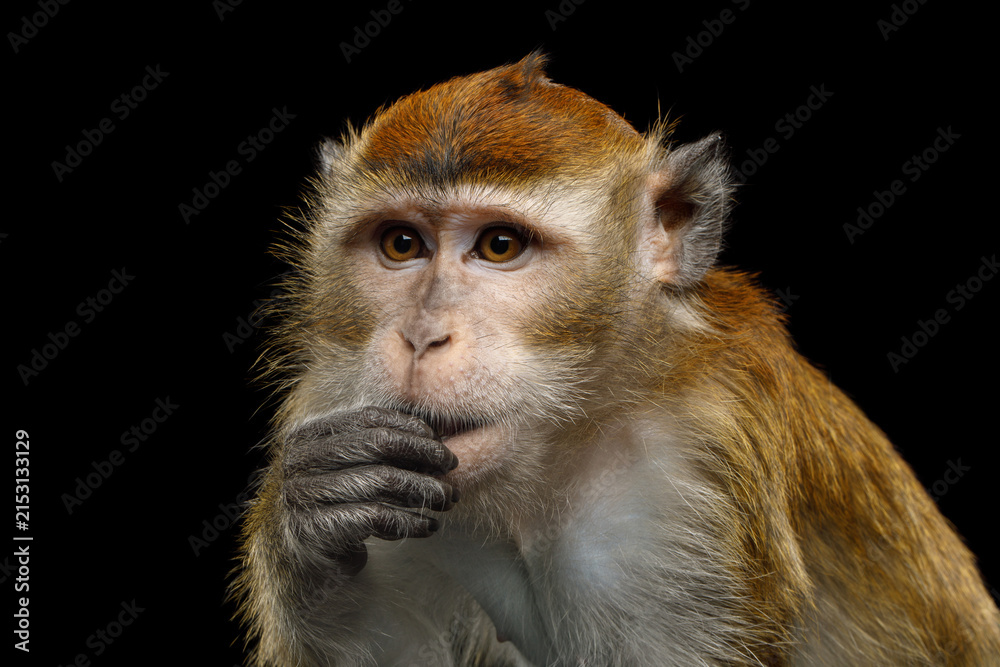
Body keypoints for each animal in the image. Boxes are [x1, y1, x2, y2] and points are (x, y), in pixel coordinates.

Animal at [232, 52, 1000, 666]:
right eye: (400, 244)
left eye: (500, 245)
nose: (422, 337)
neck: (565, 438)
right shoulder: (353, 420)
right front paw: (309, 530)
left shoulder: (681, 497)